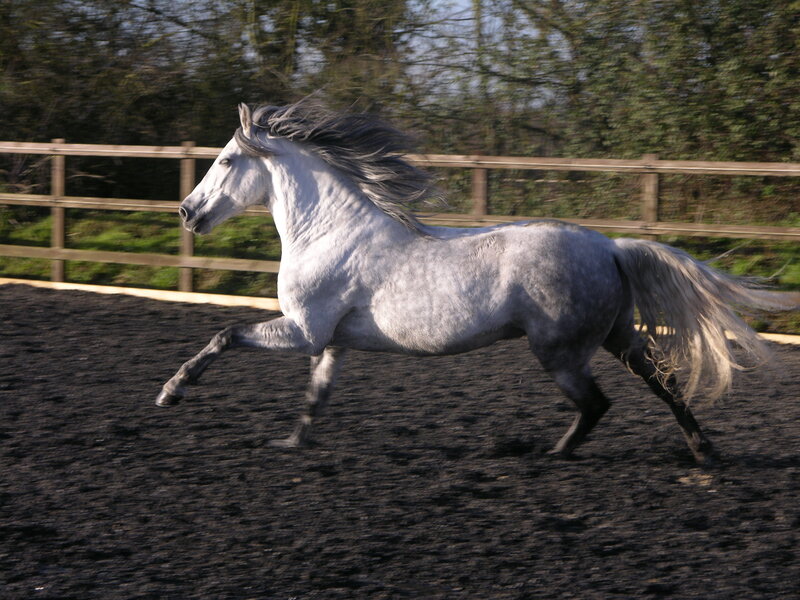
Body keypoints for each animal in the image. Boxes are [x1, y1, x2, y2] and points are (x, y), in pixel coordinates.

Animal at [155, 99, 794, 464]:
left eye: (227, 161)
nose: (187, 212)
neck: (329, 231)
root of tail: (611, 247)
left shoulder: (302, 329)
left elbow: (224, 336)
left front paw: (172, 391)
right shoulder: (330, 342)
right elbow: (317, 396)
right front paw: (291, 444)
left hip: (559, 351)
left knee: (597, 403)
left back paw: (550, 453)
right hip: (617, 336)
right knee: (663, 384)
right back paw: (703, 451)